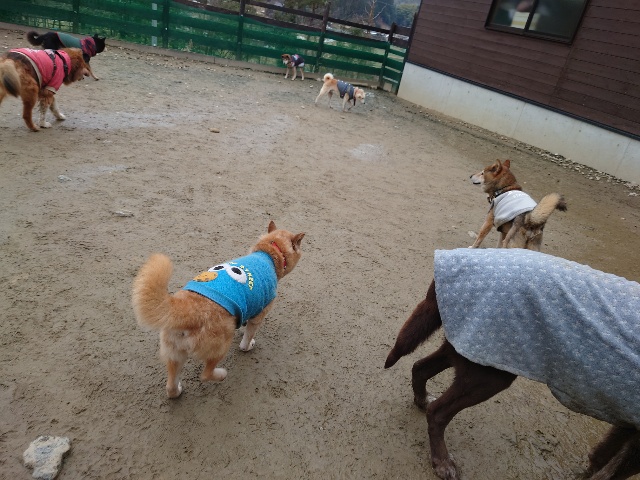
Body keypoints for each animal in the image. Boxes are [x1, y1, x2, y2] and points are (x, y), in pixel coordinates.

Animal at [132, 221, 305, 399]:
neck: (269, 253)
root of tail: (186, 308)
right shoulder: (259, 314)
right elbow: (247, 339)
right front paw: (248, 344)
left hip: (175, 354)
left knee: (171, 386)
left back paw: (177, 390)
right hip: (222, 342)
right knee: (206, 374)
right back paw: (221, 374)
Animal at [385, 248, 640, 480]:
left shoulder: (626, 424)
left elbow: (601, 459)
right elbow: (613, 471)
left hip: (466, 352)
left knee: (420, 368)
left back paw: (421, 400)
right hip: (488, 372)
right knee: (437, 412)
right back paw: (442, 462)